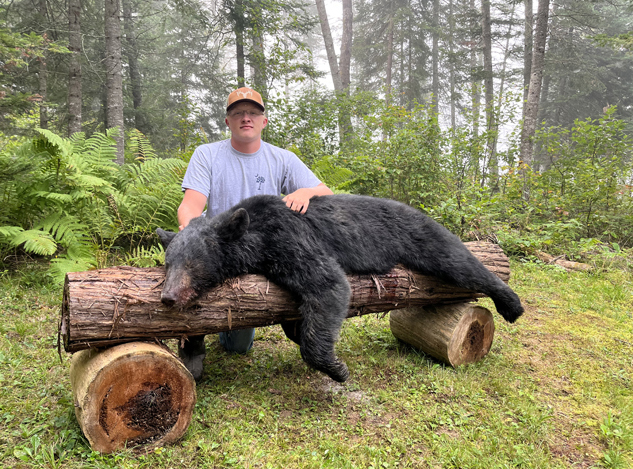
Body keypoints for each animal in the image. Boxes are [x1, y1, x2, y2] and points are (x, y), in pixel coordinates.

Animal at [156, 194, 520, 380]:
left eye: (194, 263)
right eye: (168, 263)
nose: (168, 297)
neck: (255, 232)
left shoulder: (291, 239)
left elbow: (329, 284)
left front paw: (336, 368)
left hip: (420, 235)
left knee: (458, 261)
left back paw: (511, 303)